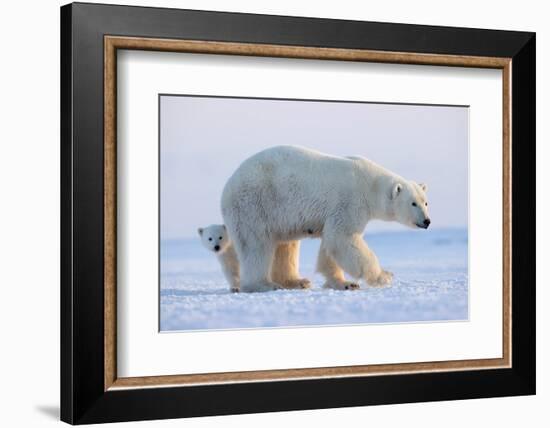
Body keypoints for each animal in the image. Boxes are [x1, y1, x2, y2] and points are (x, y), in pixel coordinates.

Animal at [222, 145, 434, 292]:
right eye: (413, 203)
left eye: (425, 202)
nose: (427, 221)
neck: (369, 185)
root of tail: (227, 187)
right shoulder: (350, 202)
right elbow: (343, 238)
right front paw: (384, 276)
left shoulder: (335, 213)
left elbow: (330, 246)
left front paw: (344, 283)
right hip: (254, 204)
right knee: (256, 245)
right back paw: (264, 284)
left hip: (277, 215)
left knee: (286, 245)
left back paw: (297, 281)